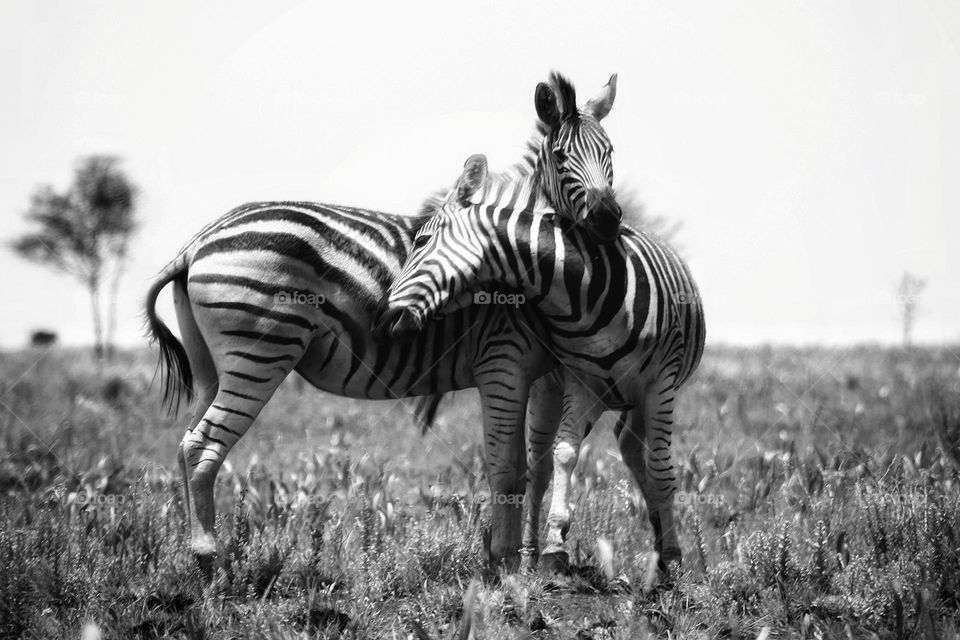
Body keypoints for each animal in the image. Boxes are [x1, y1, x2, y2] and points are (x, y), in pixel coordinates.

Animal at [143, 73, 622, 577]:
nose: (608, 220)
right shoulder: (503, 364)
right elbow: (507, 467)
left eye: (610, 151)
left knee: (186, 443)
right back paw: (209, 560)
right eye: (560, 157)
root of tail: (198, 242)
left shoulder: (550, 375)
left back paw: (198, 555)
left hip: (212, 367)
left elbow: (540, 467)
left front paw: (530, 560)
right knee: (202, 446)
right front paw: (504, 563)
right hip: (258, 353)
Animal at [372, 154, 705, 574]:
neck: (584, 288)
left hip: (641, 394)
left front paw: (674, 559)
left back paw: (662, 546)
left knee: (635, 450)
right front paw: (554, 545)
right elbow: (564, 455)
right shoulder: (582, 380)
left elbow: (662, 469)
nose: (384, 320)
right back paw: (530, 553)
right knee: (548, 465)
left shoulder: (661, 382)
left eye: (421, 241)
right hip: (557, 389)